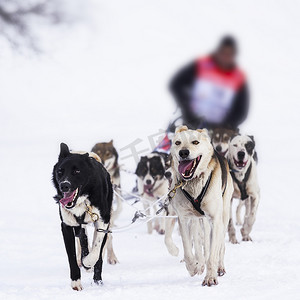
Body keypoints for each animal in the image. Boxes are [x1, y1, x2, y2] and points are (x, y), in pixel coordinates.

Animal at [52, 144, 113, 290]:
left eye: (77, 171)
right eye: (60, 171)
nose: (64, 185)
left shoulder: (103, 222)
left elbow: (96, 251)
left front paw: (88, 262)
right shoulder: (67, 226)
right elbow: (72, 256)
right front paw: (76, 282)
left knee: (99, 254)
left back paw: (97, 280)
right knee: (83, 238)